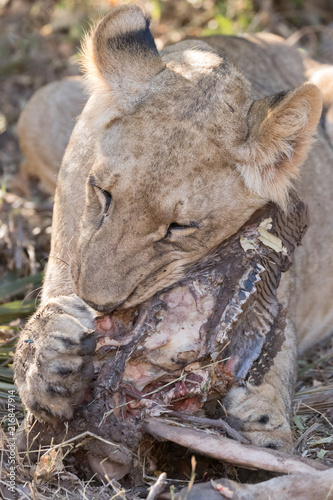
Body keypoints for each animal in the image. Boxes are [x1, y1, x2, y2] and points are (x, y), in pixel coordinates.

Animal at [13, 2, 332, 460]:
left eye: (179, 227)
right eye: (103, 194)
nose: (99, 302)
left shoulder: (277, 290)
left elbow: (275, 354)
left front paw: (266, 425)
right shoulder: (66, 260)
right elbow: (50, 312)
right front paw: (49, 366)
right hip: (40, 106)